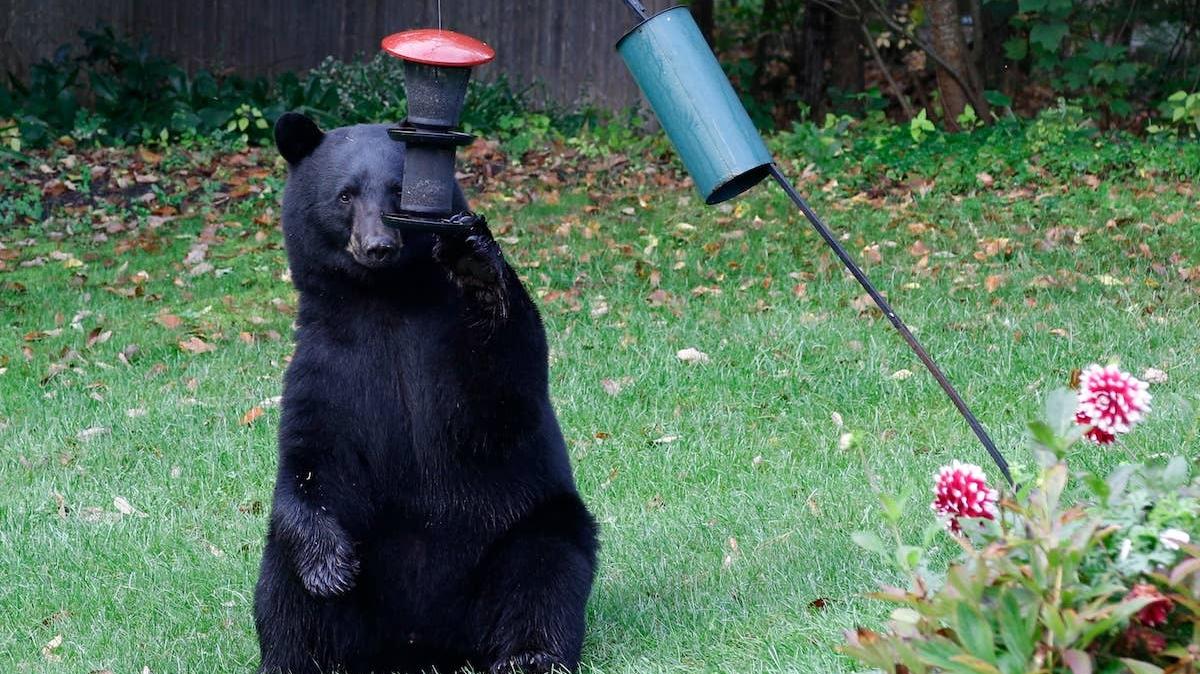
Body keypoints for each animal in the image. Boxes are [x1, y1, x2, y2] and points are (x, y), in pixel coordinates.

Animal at [253, 113, 598, 674]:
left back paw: (528, 656)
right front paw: (329, 567)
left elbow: (500, 400)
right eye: (345, 195)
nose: (378, 245)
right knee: (284, 588)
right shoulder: (325, 366)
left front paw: (479, 266)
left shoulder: (446, 342)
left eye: (398, 191)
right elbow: (310, 459)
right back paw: (294, 659)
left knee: (544, 574)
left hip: (525, 529)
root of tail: (423, 648)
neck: (386, 302)